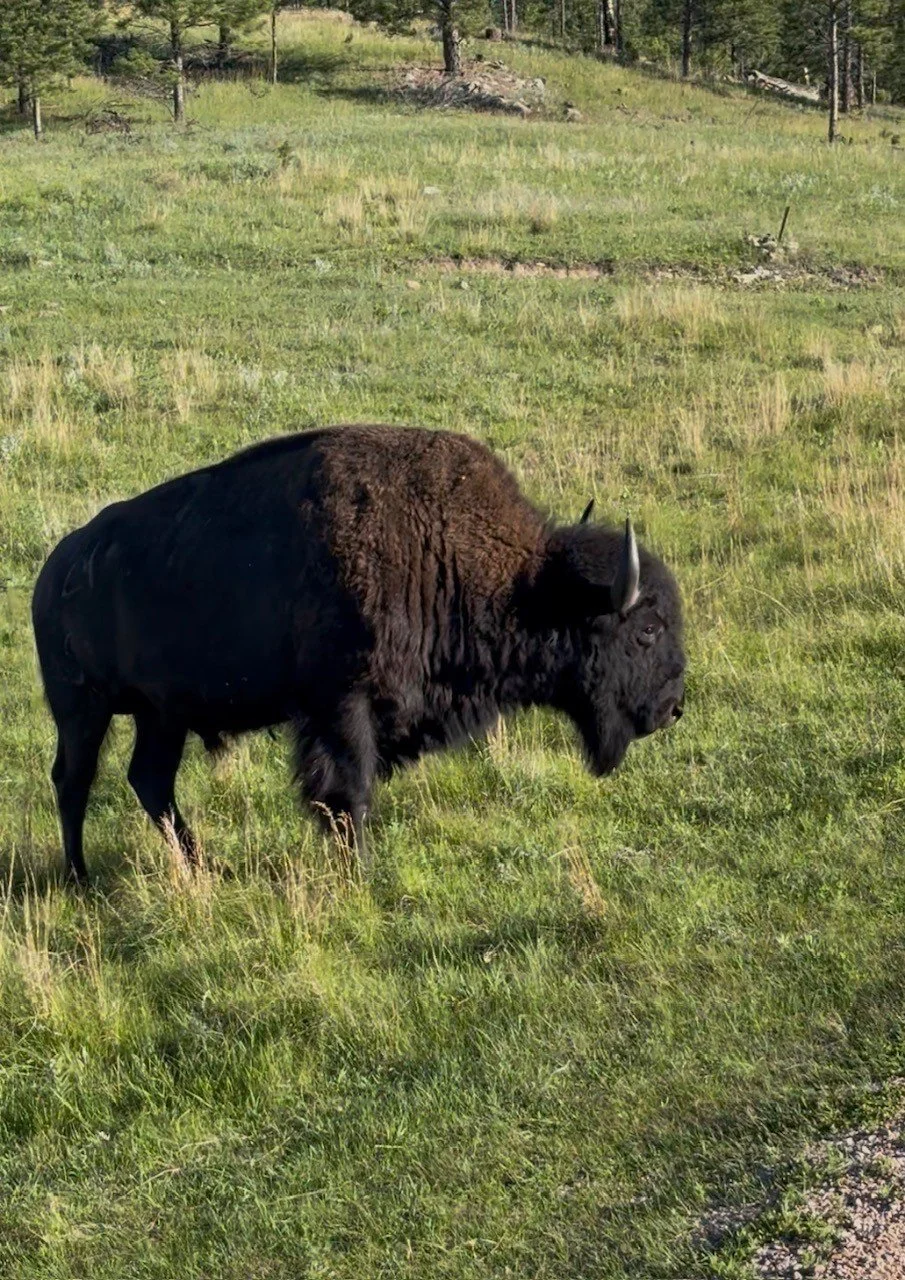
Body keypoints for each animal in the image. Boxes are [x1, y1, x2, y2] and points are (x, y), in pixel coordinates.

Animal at [32, 425, 685, 884]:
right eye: (647, 629)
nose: (673, 707)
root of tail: (57, 566)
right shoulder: (343, 707)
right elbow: (350, 794)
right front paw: (362, 873)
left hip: (161, 715)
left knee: (150, 781)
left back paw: (201, 867)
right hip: (83, 711)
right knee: (74, 779)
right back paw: (81, 878)